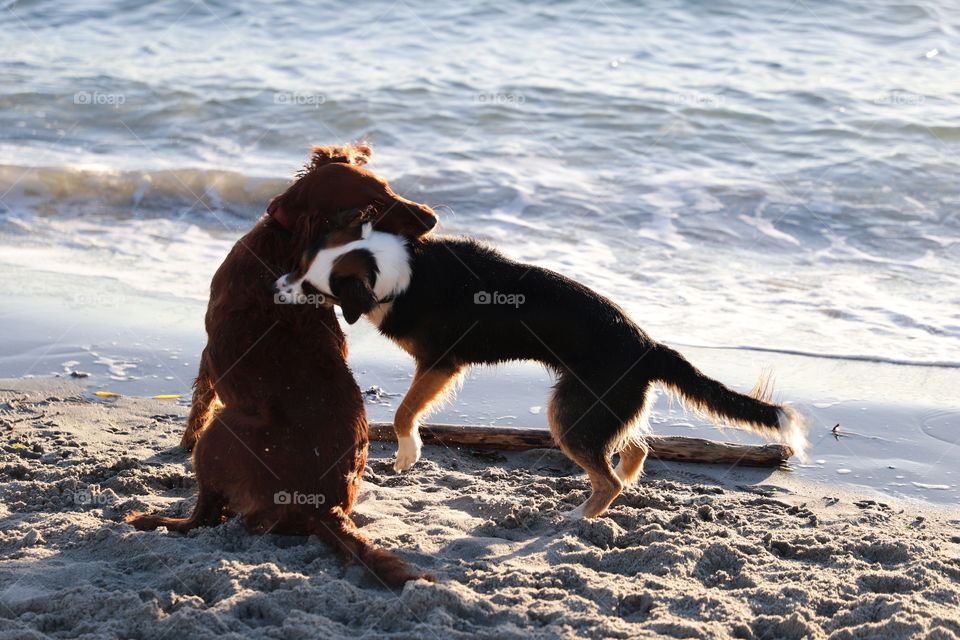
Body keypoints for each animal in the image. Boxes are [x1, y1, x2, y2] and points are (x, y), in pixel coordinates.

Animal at [128, 142, 438, 588]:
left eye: (387, 188)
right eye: (376, 205)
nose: (432, 218)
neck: (284, 239)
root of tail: (324, 508)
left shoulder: (208, 353)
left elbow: (199, 403)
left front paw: (183, 440)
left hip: (221, 434)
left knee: (206, 515)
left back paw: (153, 520)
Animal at [274, 220, 808, 520]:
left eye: (313, 287)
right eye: (298, 266)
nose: (275, 286)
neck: (398, 271)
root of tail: (647, 344)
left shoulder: (440, 363)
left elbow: (406, 413)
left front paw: (407, 454)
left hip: (570, 413)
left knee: (607, 477)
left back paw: (580, 517)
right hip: (600, 408)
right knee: (636, 445)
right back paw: (624, 477)